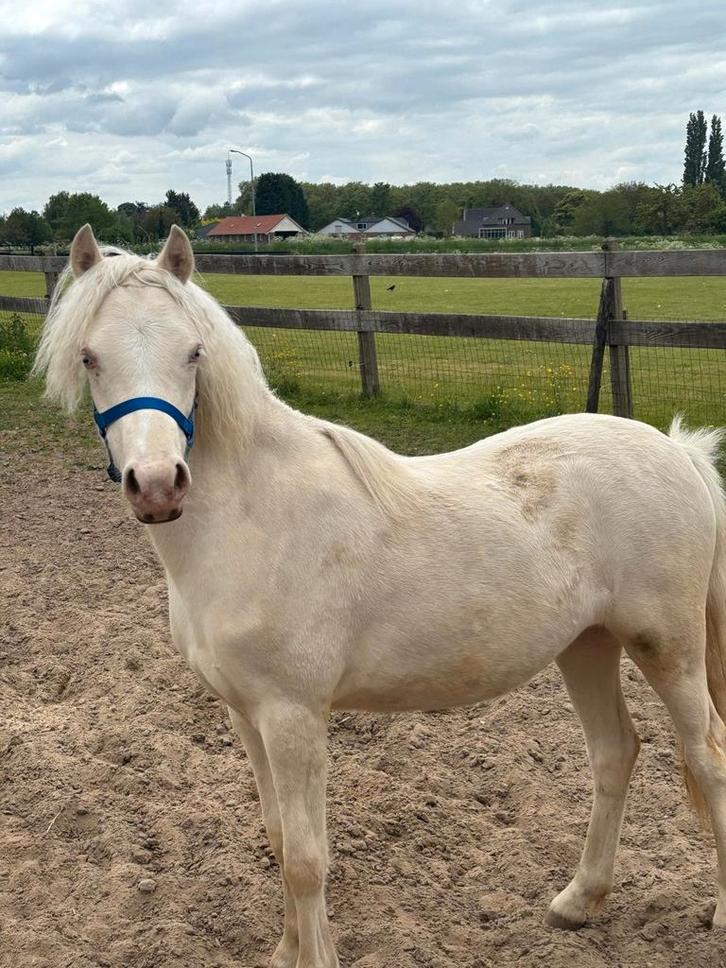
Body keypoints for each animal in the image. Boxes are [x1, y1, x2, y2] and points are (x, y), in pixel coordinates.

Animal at [33, 223, 726, 968]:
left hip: (667, 647)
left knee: (708, 757)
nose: (159, 484)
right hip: (587, 644)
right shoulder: (246, 715)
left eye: (192, 352)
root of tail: (681, 452)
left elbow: (306, 859)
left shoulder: (294, 717)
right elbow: (277, 837)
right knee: (614, 753)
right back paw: (578, 900)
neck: (252, 518)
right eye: (90, 357)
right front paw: (285, 951)